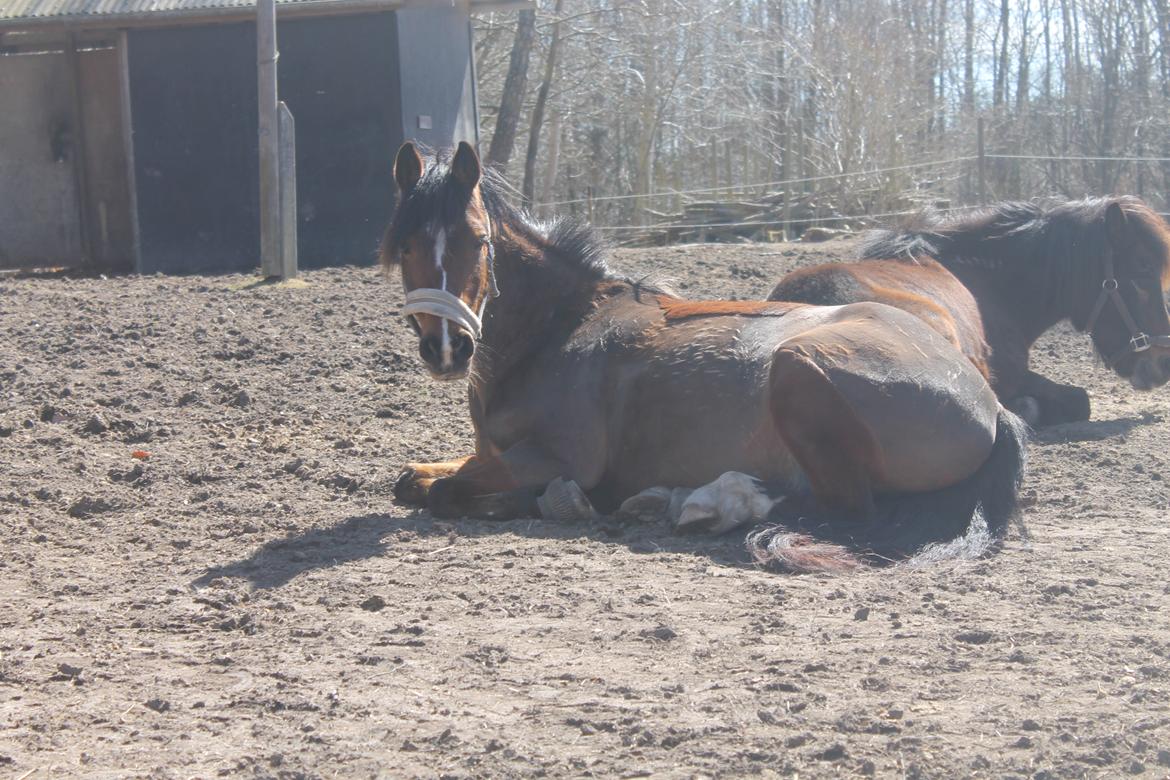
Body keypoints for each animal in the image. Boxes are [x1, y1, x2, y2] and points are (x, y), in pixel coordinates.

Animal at [381, 143, 1024, 573]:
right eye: (405, 245)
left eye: (478, 241)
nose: (447, 348)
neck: (557, 330)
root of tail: (990, 403)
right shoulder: (494, 453)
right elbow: (416, 479)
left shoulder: (558, 456)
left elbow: (446, 492)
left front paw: (542, 501)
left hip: (798, 368)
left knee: (839, 504)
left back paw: (695, 501)